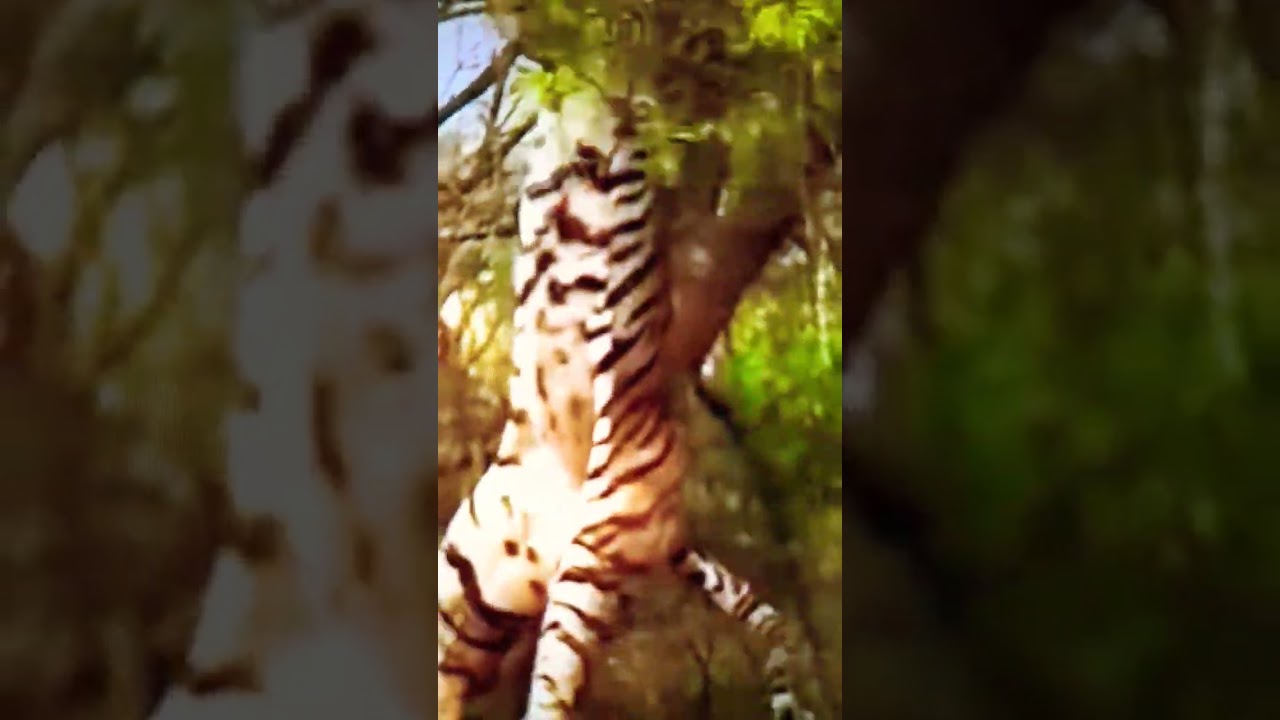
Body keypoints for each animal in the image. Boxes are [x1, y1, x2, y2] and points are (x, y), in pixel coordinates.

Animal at [436, 92, 813, 720]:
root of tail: (675, 525)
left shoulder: (619, 199)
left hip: (584, 573)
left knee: (549, 693)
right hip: (469, 576)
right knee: (451, 674)